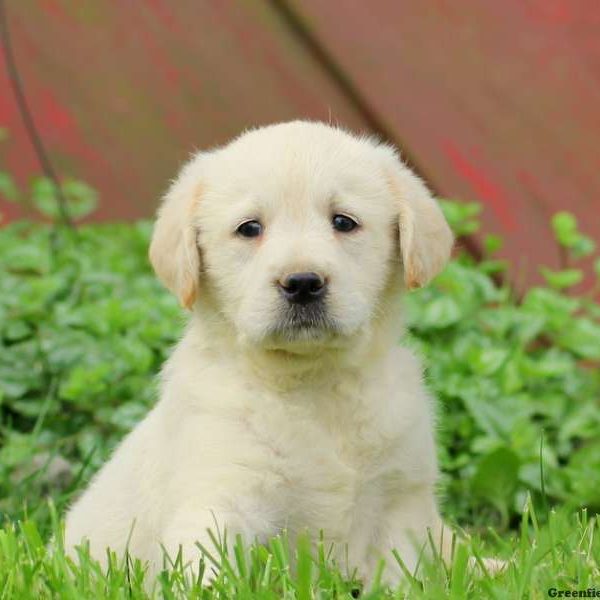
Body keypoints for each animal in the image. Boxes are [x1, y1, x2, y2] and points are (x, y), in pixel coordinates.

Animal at [64, 119, 454, 584]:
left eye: (344, 222)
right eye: (249, 228)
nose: (302, 283)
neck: (313, 382)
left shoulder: (401, 501)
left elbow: (405, 575)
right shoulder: (220, 497)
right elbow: (209, 575)